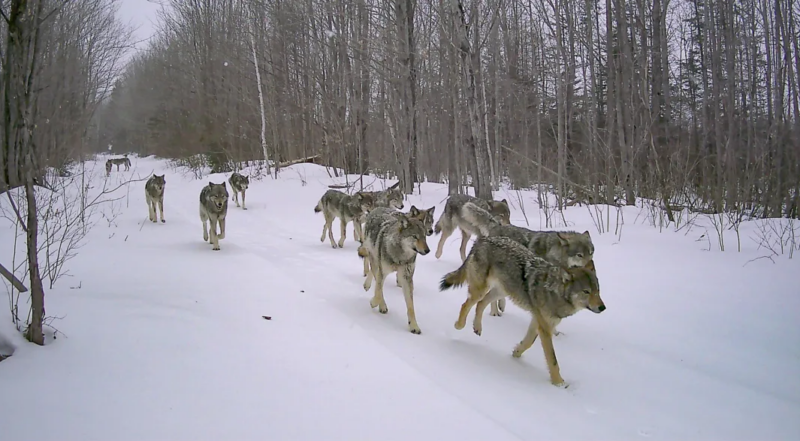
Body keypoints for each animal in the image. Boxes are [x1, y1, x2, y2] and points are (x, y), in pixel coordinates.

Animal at [439, 235, 605, 387]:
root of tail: (483, 239)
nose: (603, 308)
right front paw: (559, 382)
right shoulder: (544, 327)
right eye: (586, 292)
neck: (554, 291)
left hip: (501, 292)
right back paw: (459, 325)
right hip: (481, 290)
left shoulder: (537, 322)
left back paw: (477, 327)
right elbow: (552, 359)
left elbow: (528, 343)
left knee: (480, 304)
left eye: (597, 291)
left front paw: (516, 353)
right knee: (466, 304)